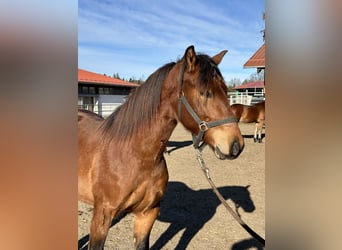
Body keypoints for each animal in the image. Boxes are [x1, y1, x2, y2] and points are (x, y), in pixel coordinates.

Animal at [78, 45, 243, 250]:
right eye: (205, 92)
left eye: (225, 90)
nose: (236, 145)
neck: (134, 155)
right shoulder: (101, 218)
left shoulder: (147, 214)